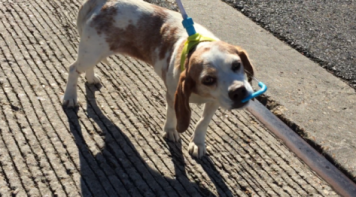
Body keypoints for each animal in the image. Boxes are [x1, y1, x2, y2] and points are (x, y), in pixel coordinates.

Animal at [62, 0, 256, 158]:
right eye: (208, 79)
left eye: (237, 65)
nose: (239, 91)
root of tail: (101, 2)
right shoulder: (172, 95)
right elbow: (172, 114)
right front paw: (170, 131)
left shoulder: (214, 102)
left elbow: (202, 122)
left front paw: (198, 142)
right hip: (91, 52)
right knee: (73, 70)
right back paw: (70, 97)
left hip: (96, 53)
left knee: (86, 68)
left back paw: (91, 78)